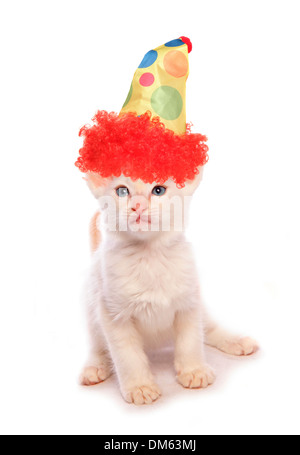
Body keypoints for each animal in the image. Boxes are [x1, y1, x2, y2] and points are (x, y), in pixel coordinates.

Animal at [79, 171, 258, 406]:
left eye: (158, 190)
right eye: (122, 191)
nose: (138, 206)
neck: (150, 256)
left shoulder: (189, 303)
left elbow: (191, 341)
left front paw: (193, 370)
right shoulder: (113, 315)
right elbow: (127, 356)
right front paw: (140, 386)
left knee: (208, 329)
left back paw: (237, 341)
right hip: (93, 312)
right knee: (98, 346)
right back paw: (95, 367)